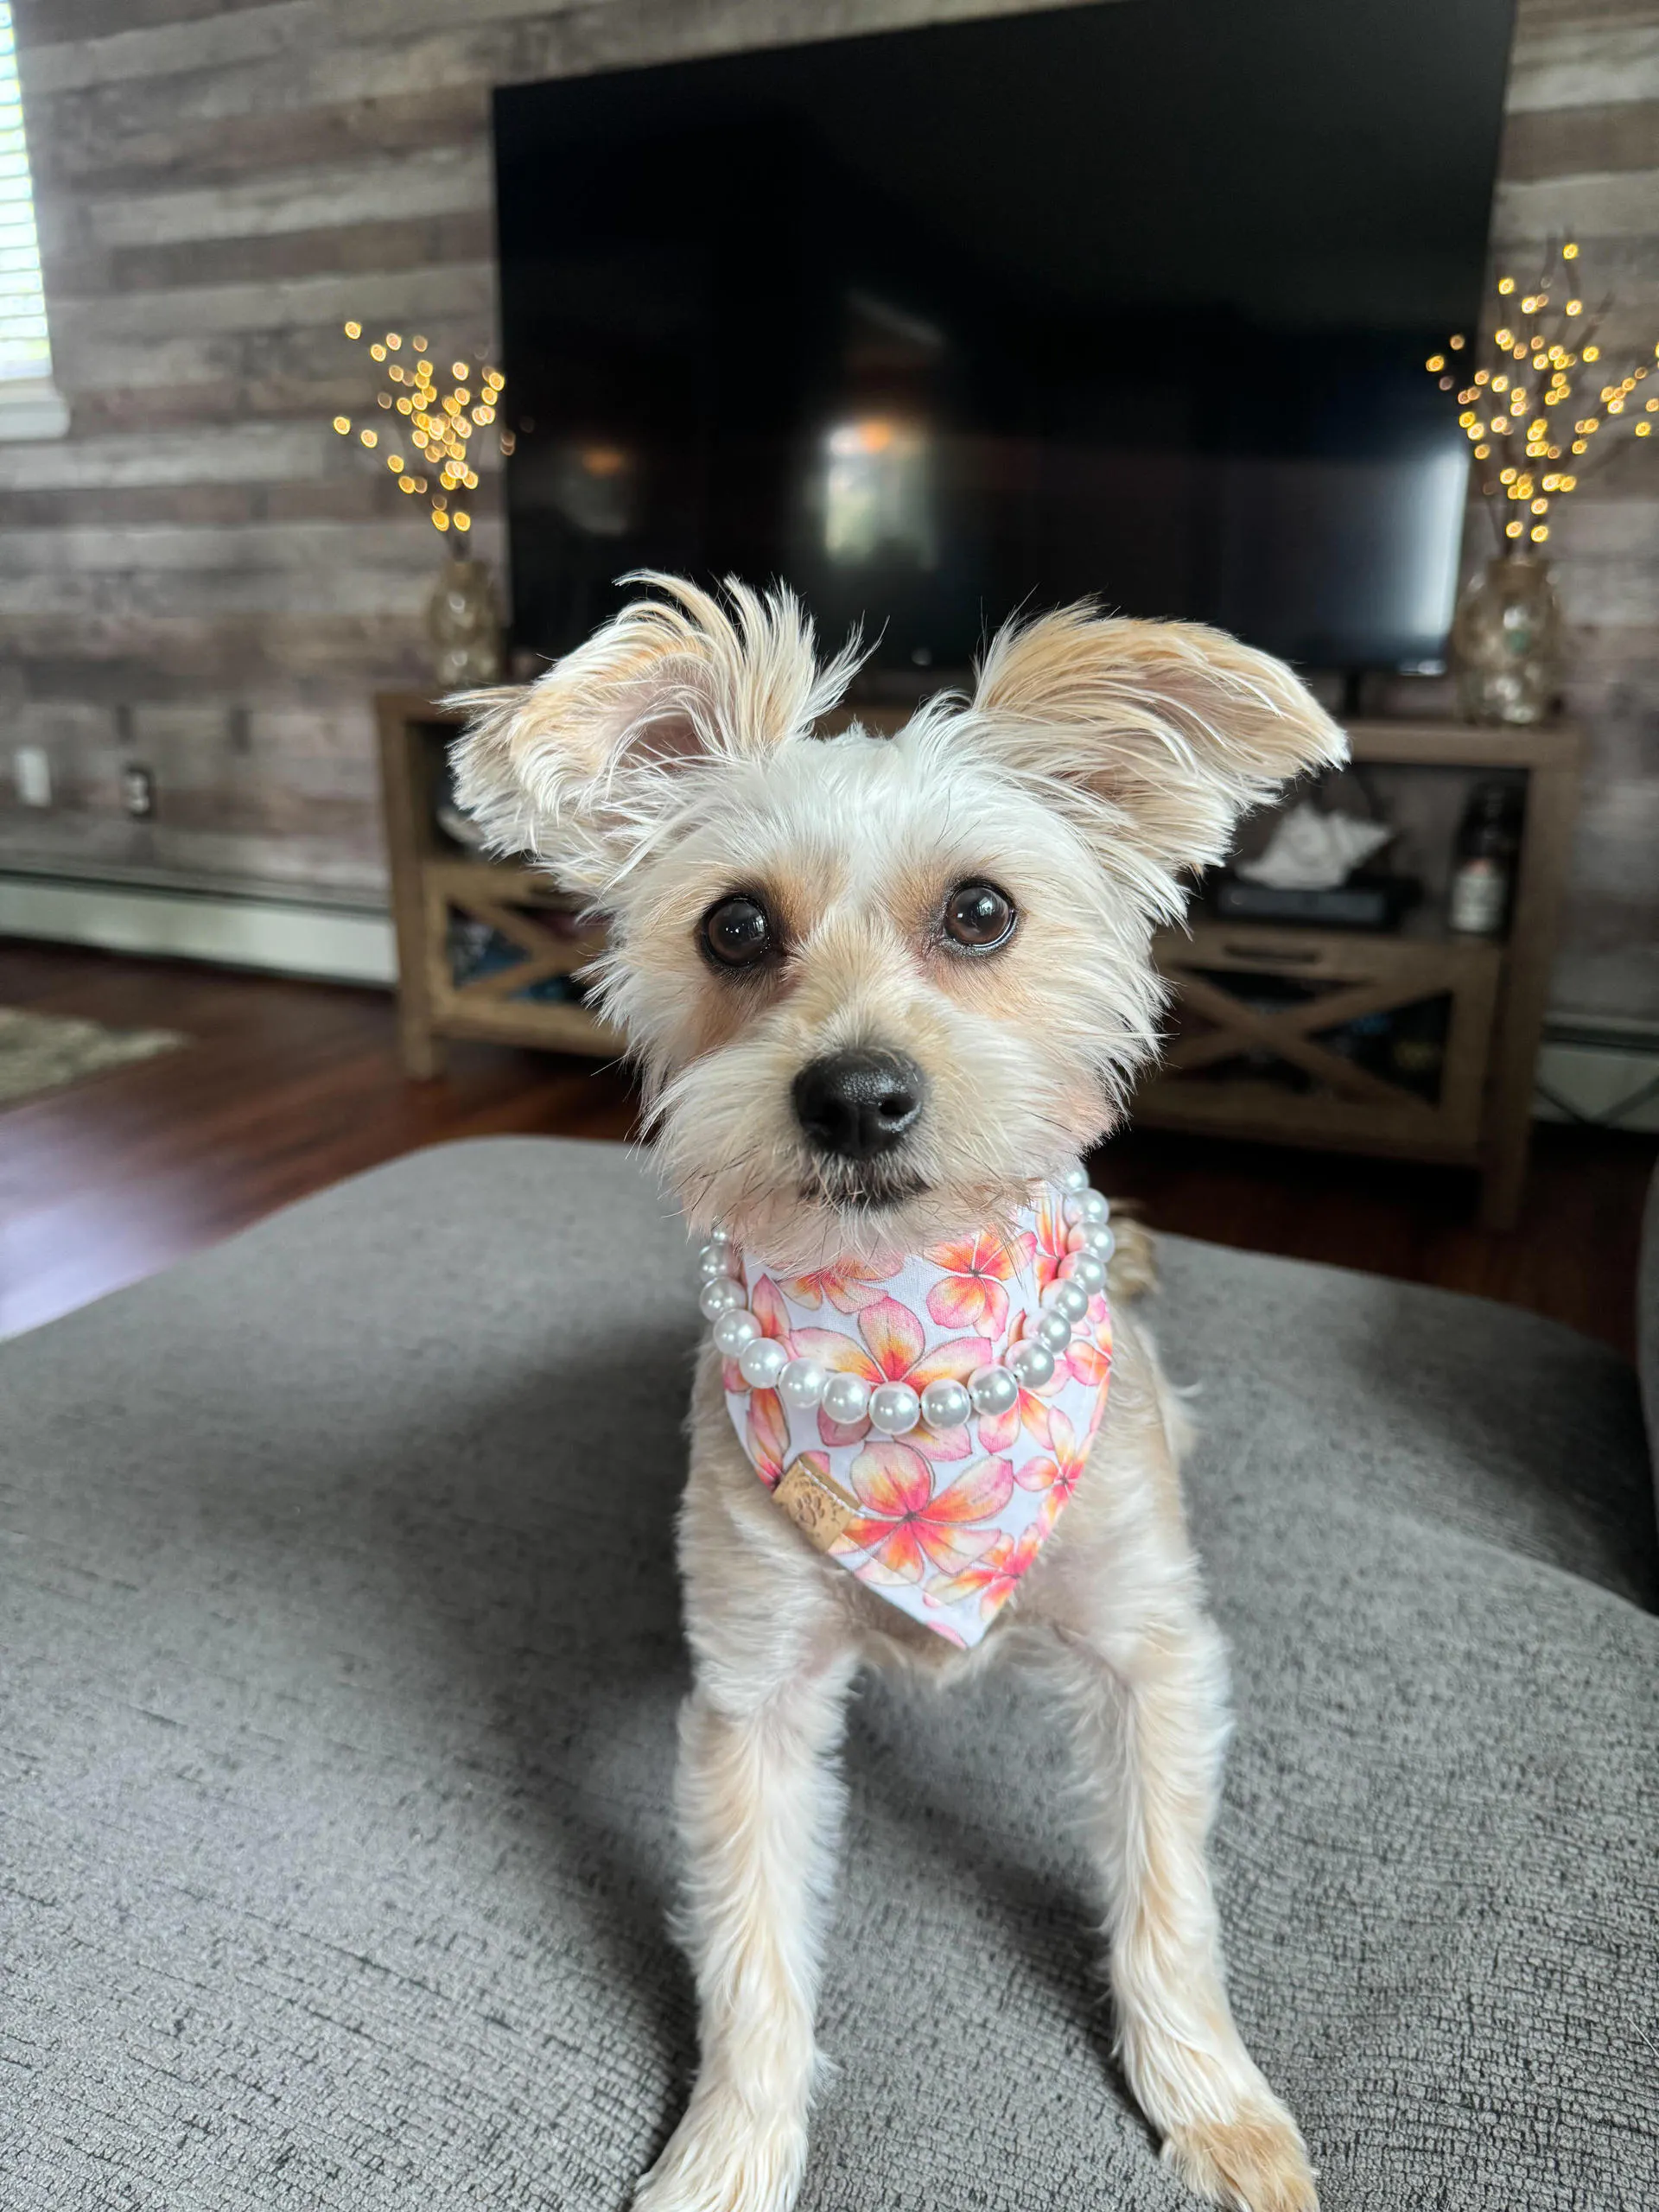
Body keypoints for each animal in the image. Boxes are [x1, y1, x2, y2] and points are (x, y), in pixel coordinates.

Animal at [453, 574, 1345, 2212]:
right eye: (735, 924)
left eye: (981, 910)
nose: (855, 1096)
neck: (902, 1346)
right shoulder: (751, 1700)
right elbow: (749, 1956)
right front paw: (729, 2154)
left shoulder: (1151, 1654)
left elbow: (1167, 1898)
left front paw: (1213, 2101)